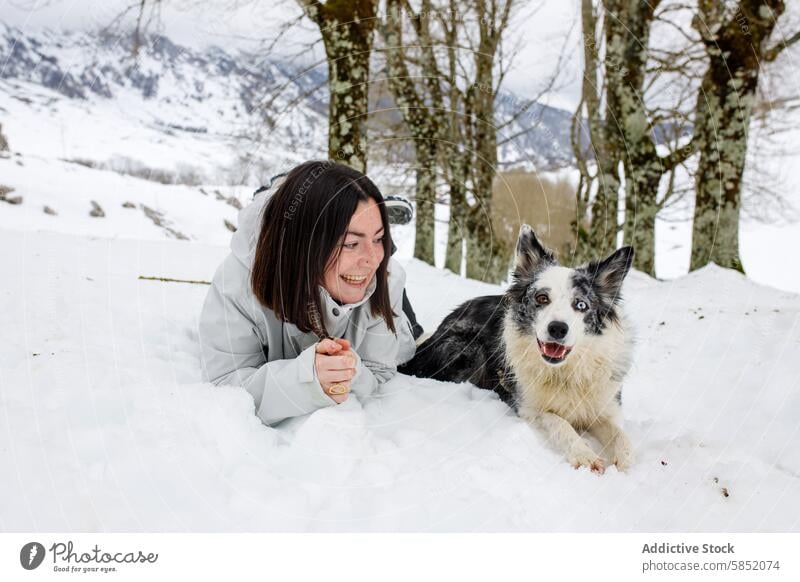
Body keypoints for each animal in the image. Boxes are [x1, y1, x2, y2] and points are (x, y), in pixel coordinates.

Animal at [404, 225, 636, 474]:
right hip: (467, 348)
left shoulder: (603, 407)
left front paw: (625, 461)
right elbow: (559, 422)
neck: (564, 372)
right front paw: (583, 453)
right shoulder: (529, 408)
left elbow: (620, 434)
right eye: (542, 298)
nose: (557, 328)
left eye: (581, 305)